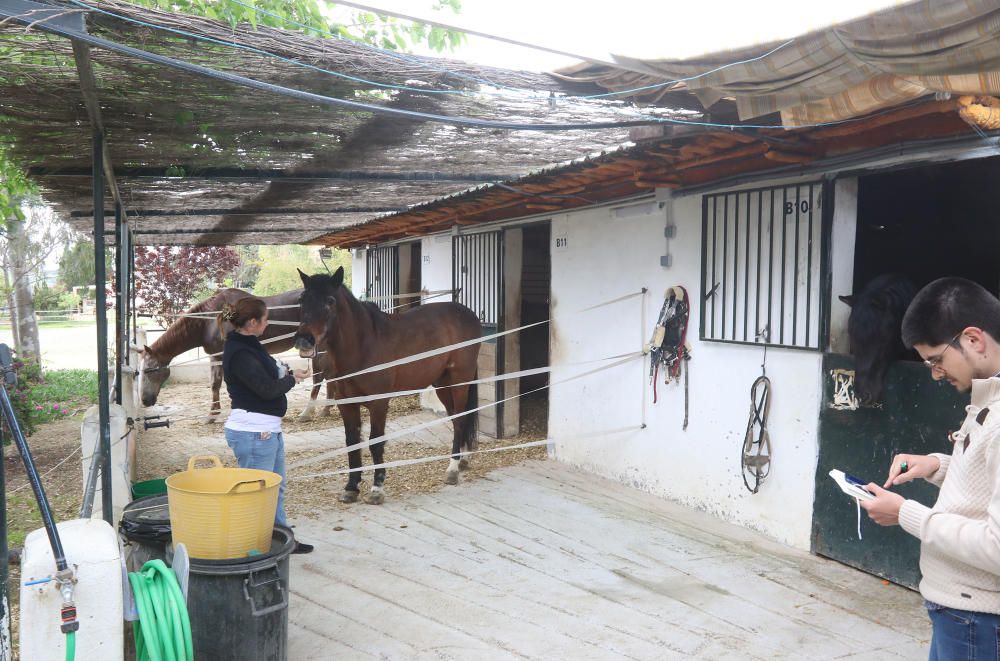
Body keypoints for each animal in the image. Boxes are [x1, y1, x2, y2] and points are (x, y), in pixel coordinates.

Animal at [139, 286, 334, 420]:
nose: (145, 401)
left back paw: (308, 412)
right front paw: (213, 414)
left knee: (319, 377)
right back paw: (327, 408)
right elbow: (214, 384)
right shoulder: (215, 357)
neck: (209, 320)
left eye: (148, 371)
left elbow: (219, 384)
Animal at [292, 266, 480, 502]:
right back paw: (463, 460)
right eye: (302, 300)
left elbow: (375, 442)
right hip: (442, 384)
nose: (304, 340)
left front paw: (377, 489)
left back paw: (453, 469)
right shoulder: (346, 403)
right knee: (457, 418)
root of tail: (468, 314)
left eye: (330, 301)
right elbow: (352, 441)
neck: (363, 345)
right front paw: (351, 487)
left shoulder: (378, 403)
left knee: (461, 419)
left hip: (459, 381)